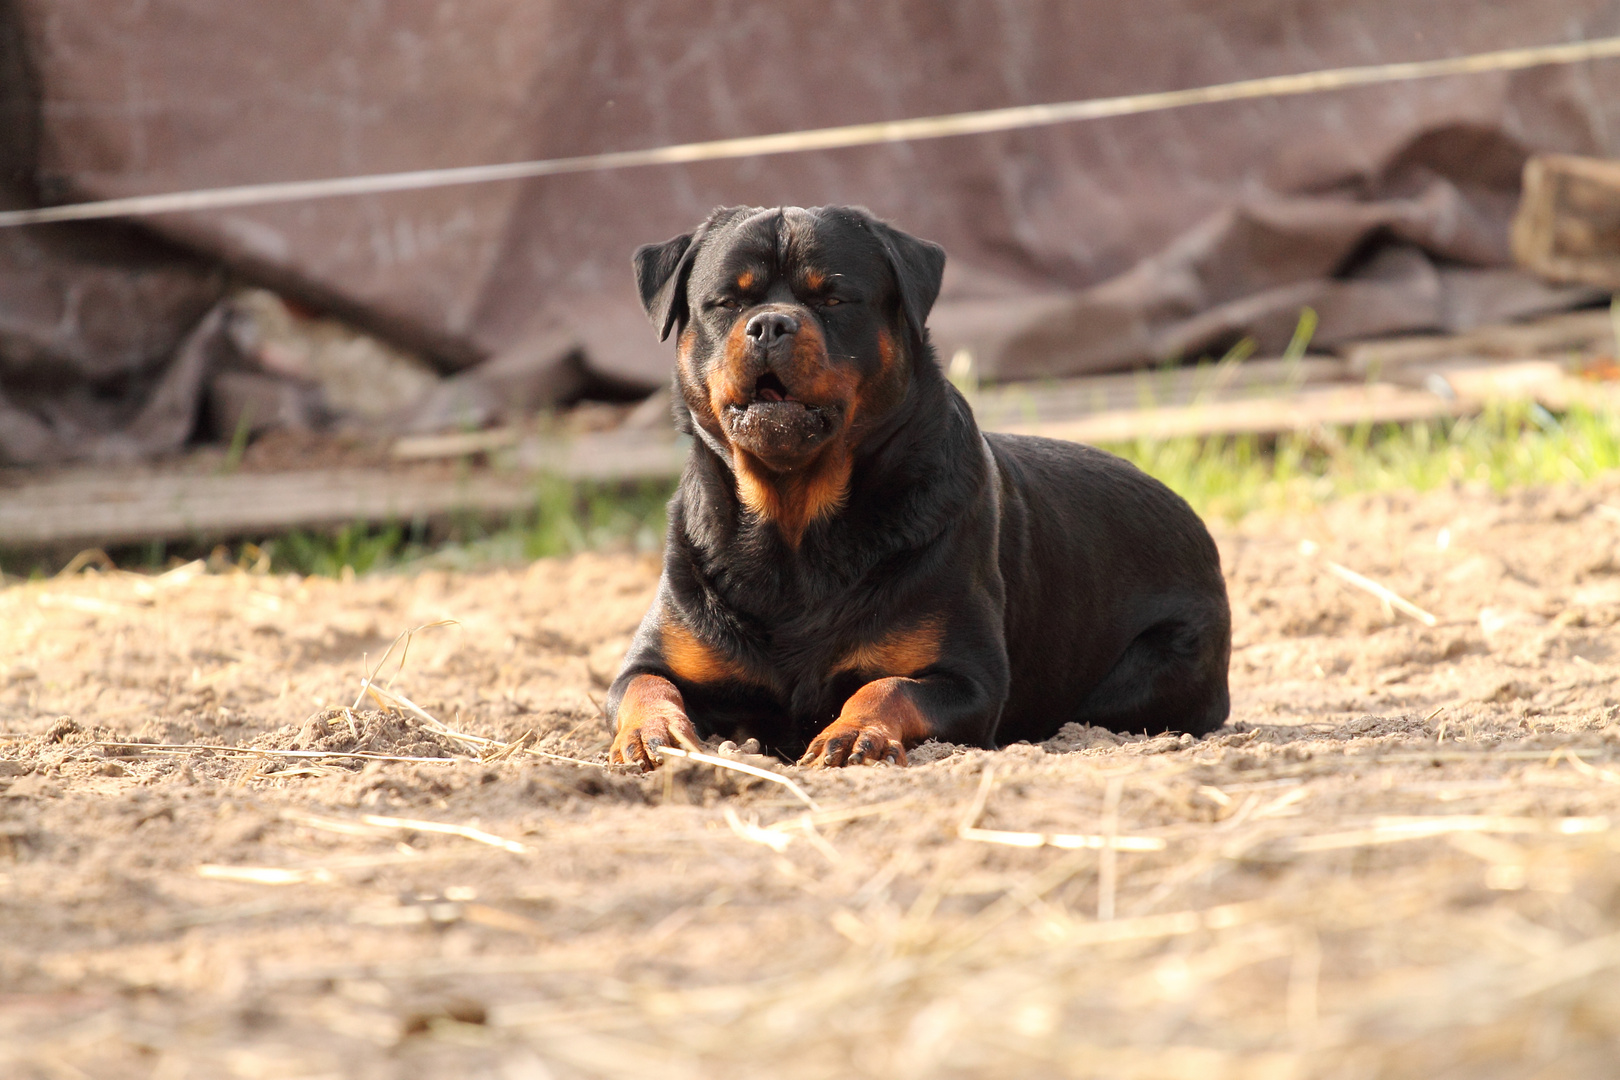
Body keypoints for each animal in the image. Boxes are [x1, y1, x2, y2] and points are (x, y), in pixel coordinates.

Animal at [605, 204, 1224, 767]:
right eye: (728, 302)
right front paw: (652, 734)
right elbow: (646, 686)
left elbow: (886, 686)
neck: (794, 522)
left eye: (834, 299)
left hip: (1153, 673)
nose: (771, 324)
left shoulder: (967, 679)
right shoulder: (649, 662)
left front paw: (855, 731)